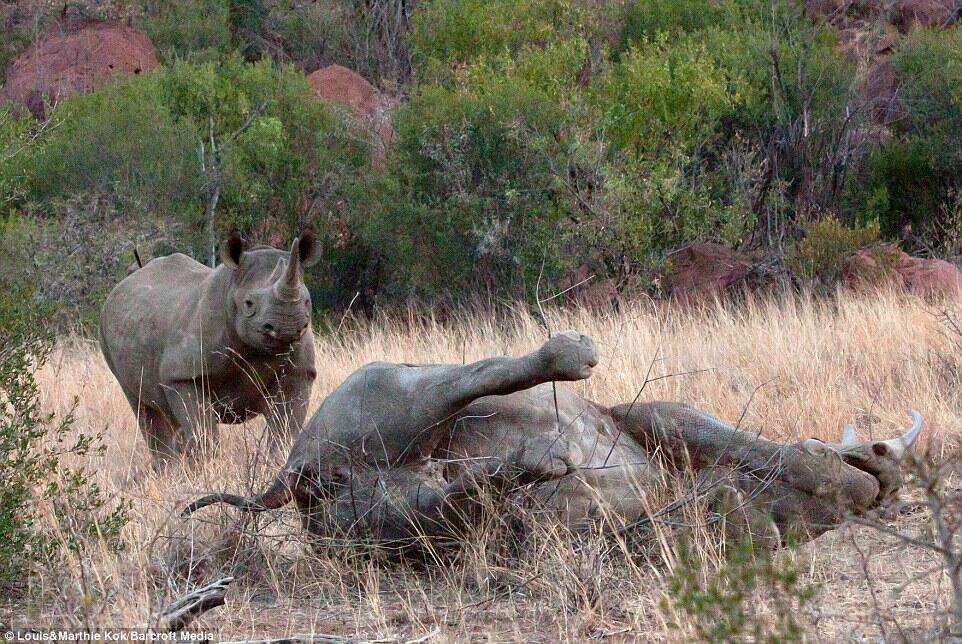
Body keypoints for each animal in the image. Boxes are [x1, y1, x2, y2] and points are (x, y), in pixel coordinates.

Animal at [101, 230, 320, 458]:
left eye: (306, 301)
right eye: (249, 304)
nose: (287, 326)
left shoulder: (299, 372)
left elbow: (285, 431)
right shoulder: (183, 375)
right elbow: (204, 434)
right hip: (107, 333)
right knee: (145, 408)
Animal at [184, 332, 920, 552]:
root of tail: (294, 473)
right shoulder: (658, 414)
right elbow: (773, 452)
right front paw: (857, 468)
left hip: (381, 518)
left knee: (450, 495)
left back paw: (528, 465)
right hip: (391, 390)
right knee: (473, 380)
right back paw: (568, 358)